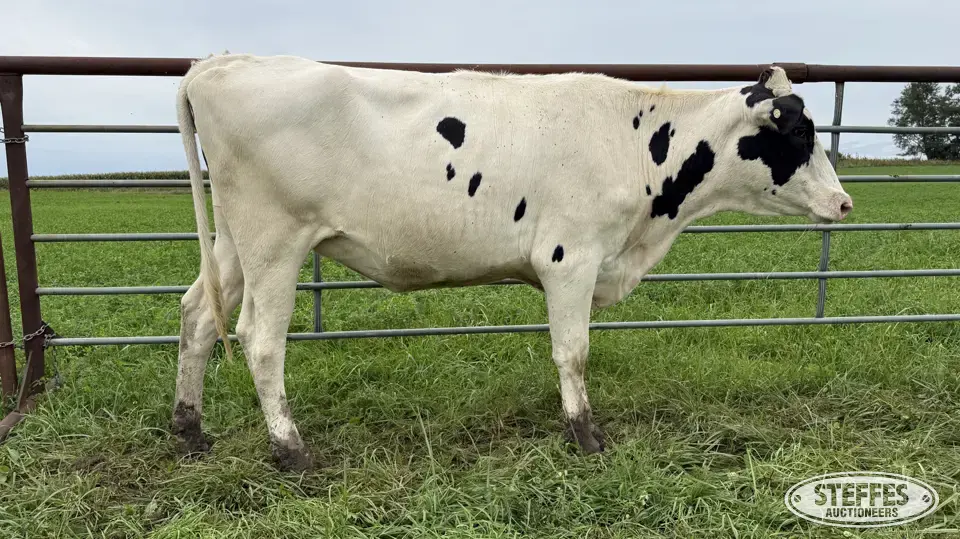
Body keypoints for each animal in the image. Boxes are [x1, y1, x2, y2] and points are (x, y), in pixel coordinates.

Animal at [170, 53, 853, 472]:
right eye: (799, 133)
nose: (844, 202)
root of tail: (220, 63)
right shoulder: (570, 257)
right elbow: (573, 352)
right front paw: (585, 436)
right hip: (274, 240)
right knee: (260, 339)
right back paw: (291, 451)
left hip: (234, 243)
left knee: (197, 316)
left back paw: (189, 430)